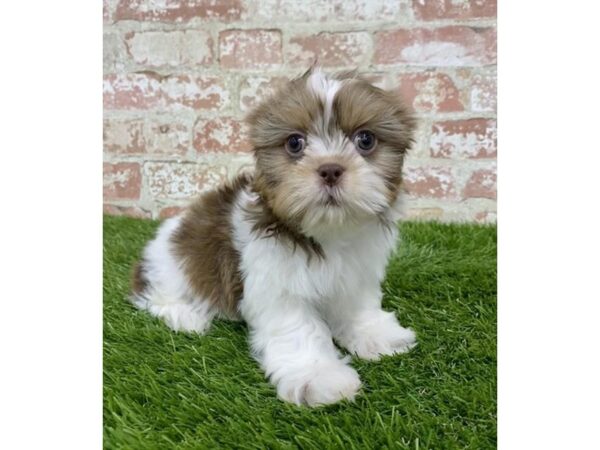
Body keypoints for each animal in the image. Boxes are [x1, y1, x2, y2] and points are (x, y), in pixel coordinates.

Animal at [132, 67, 418, 408]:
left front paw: (375, 335)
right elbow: (298, 328)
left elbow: (356, 305)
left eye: (365, 140)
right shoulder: (276, 282)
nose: (330, 169)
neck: (326, 233)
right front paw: (318, 376)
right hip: (170, 269)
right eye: (295, 143)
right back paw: (186, 316)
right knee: (154, 296)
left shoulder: (356, 272)